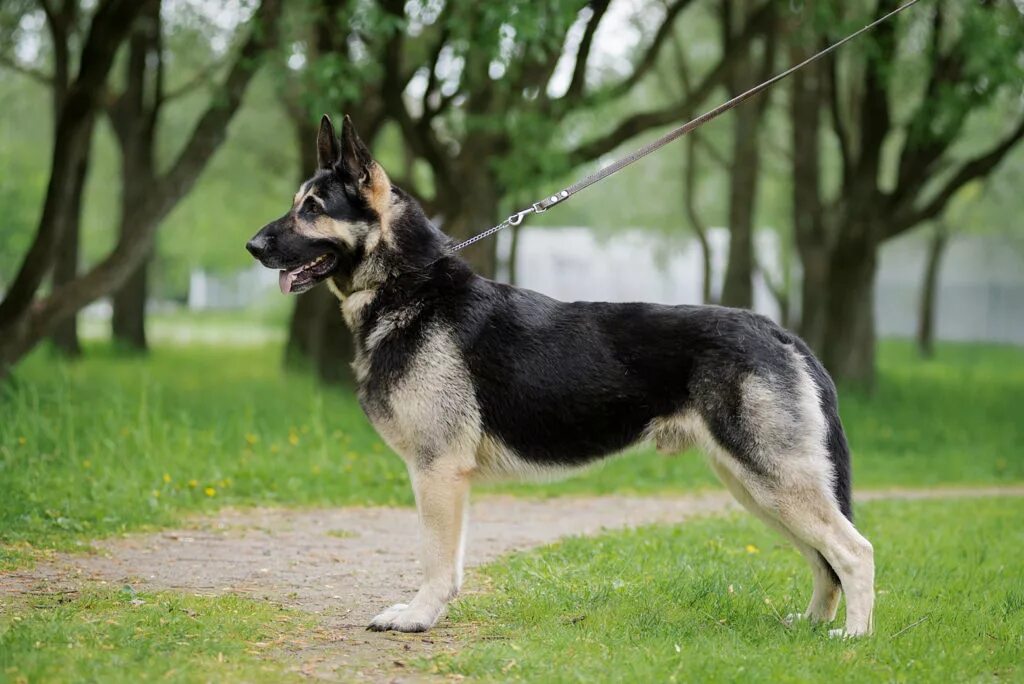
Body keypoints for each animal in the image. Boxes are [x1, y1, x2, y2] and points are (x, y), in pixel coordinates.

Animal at [245, 116, 872, 634]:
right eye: (296, 203)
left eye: (312, 207)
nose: (251, 246)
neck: (409, 286)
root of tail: (778, 331)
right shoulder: (443, 477)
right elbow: (450, 560)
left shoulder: (437, 472)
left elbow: (435, 558)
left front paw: (419, 616)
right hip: (756, 488)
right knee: (824, 561)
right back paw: (811, 628)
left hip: (774, 482)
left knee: (854, 553)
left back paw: (851, 641)